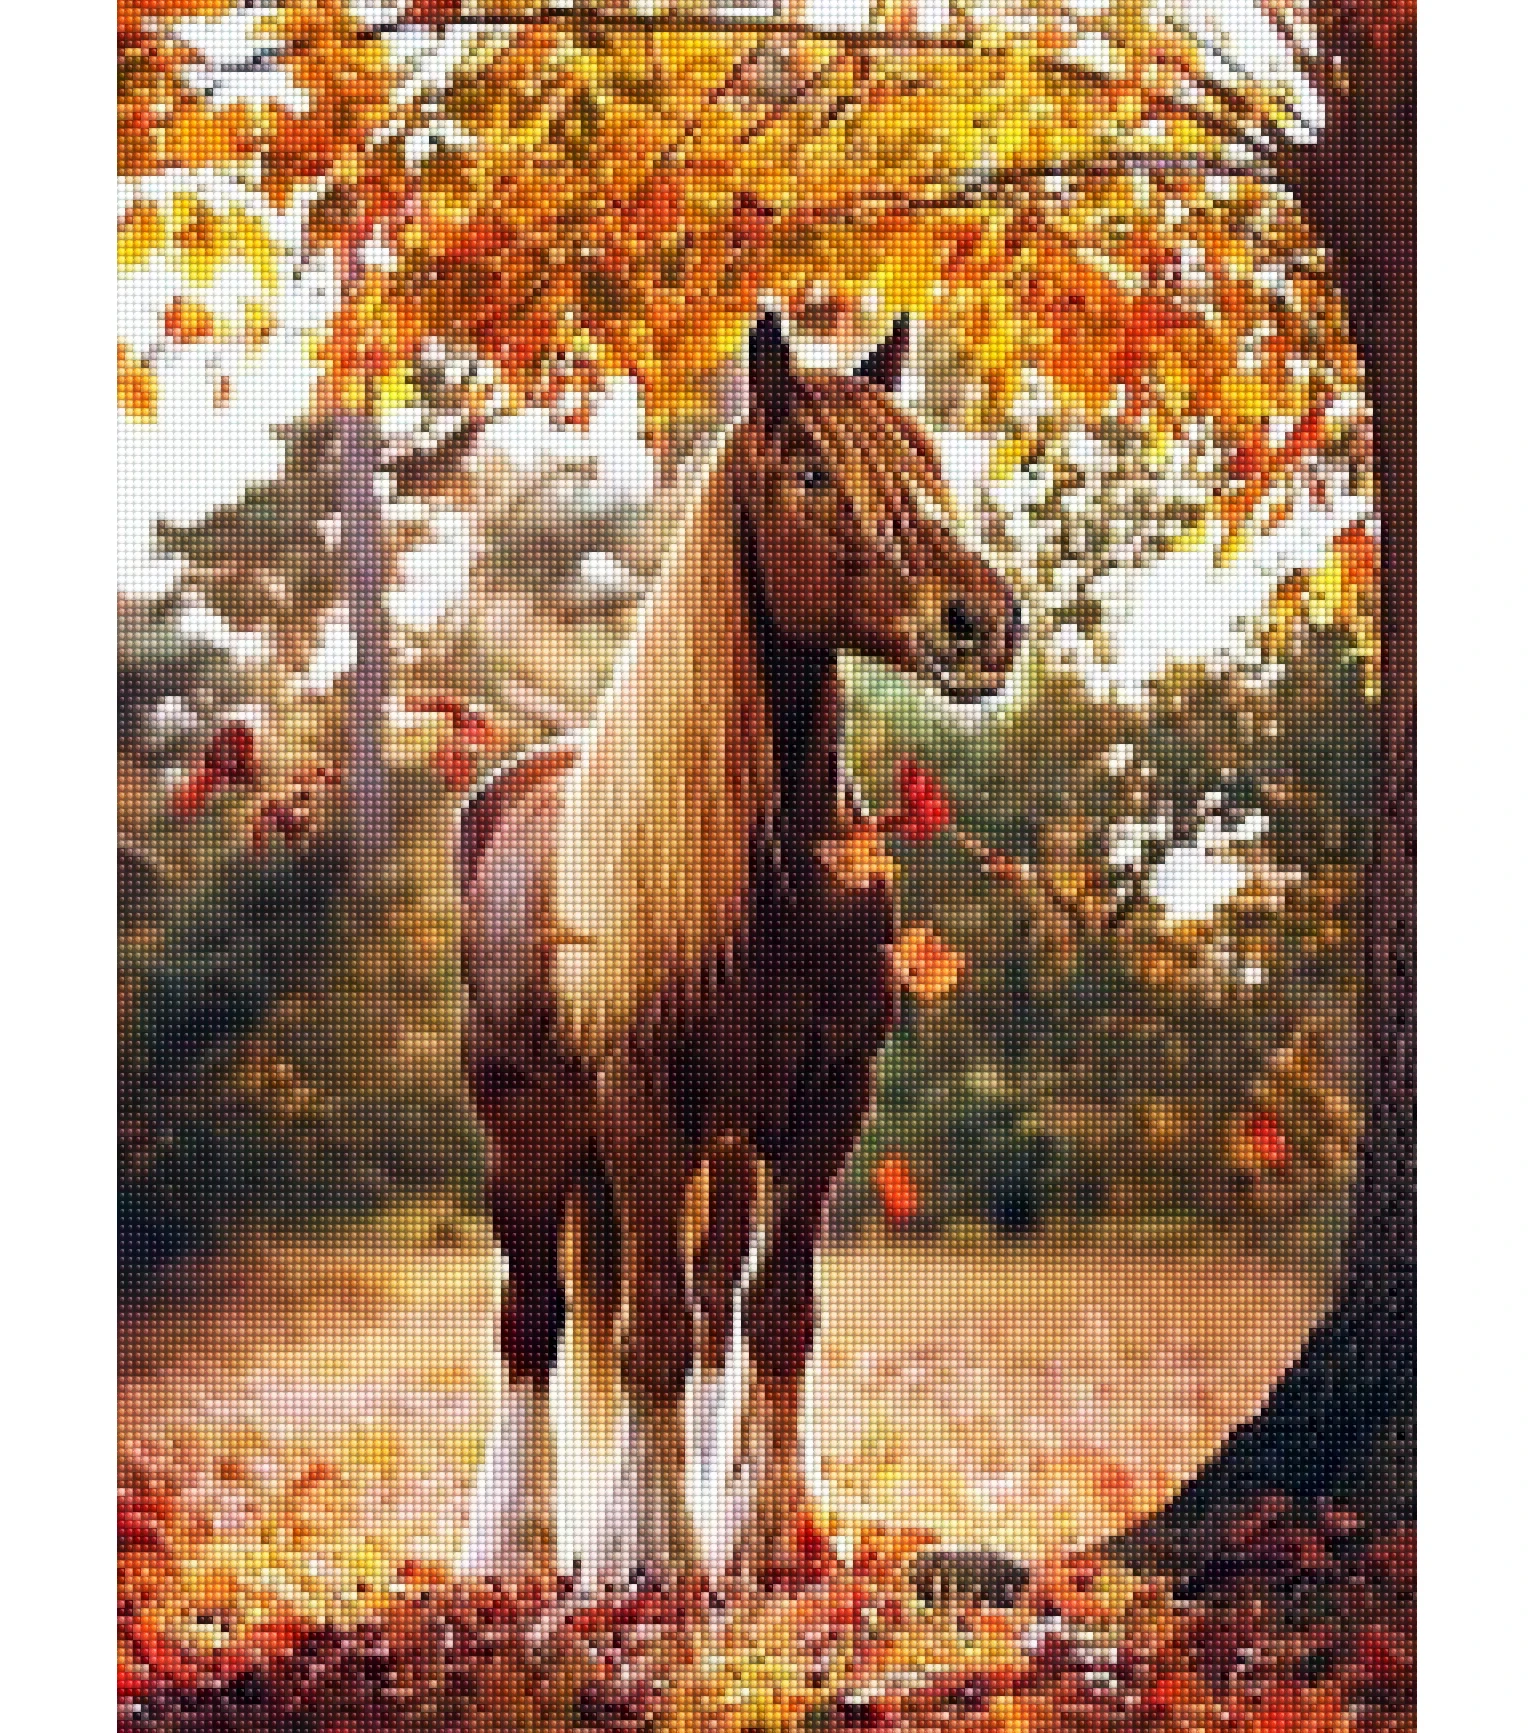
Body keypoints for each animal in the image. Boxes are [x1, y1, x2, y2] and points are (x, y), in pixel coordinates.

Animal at [455, 310, 1022, 1592]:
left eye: (925, 464)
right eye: (811, 473)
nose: (980, 620)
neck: (774, 872)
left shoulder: (824, 1104)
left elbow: (776, 1312)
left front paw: (763, 1525)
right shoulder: (638, 1100)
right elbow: (646, 1331)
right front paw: (650, 1550)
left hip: (719, 1148)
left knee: (712, 1298)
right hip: (528, 1130)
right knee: (532, 1315)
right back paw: (512, 1542)